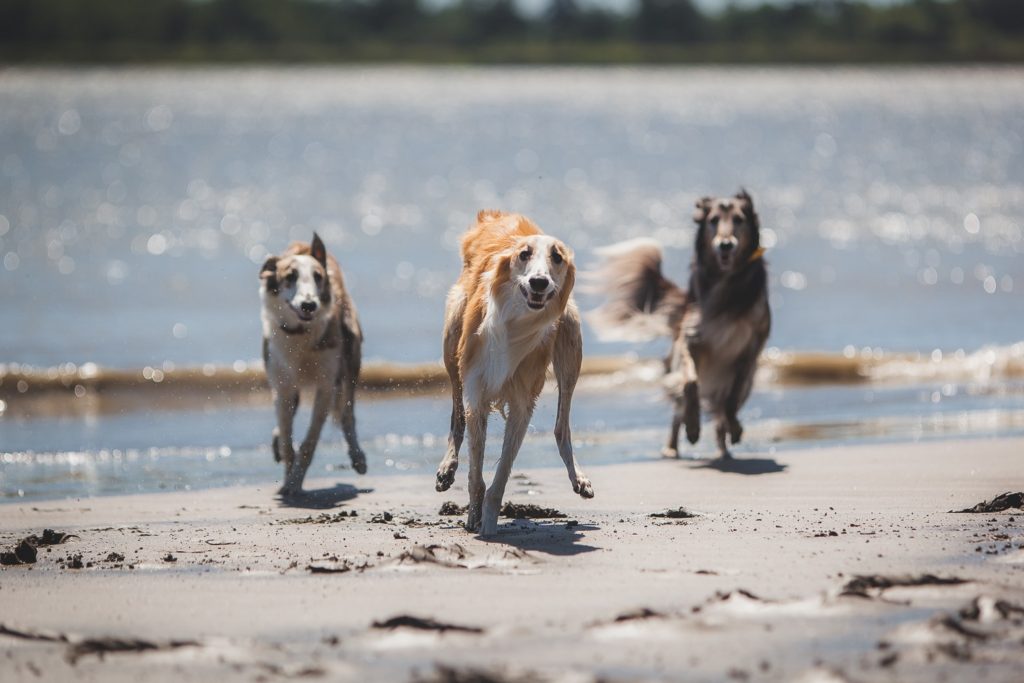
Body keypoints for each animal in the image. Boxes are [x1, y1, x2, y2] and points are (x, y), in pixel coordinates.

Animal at [258, 235, 366, 497]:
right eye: (290, 276)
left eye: (318, 276)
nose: (309, 305)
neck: (300, 332)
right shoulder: (283, 385)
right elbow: (287, 439)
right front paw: (288, 478)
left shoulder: (326, 386)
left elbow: (309, 442)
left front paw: (295, 481)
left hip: (351, 359)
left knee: (348, 414)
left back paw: (358, 458)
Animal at [589, 191, 770, 458]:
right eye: (714, 220)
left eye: (738, 219)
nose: (725, 244)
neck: (725, 282)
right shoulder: (690, 338)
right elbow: (691, 381)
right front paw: (692, 427)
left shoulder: (751, 347)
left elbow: (732, 396)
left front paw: (734, 427)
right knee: (679, 406)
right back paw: (673, 445)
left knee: (723, 409)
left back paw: (723, 448)